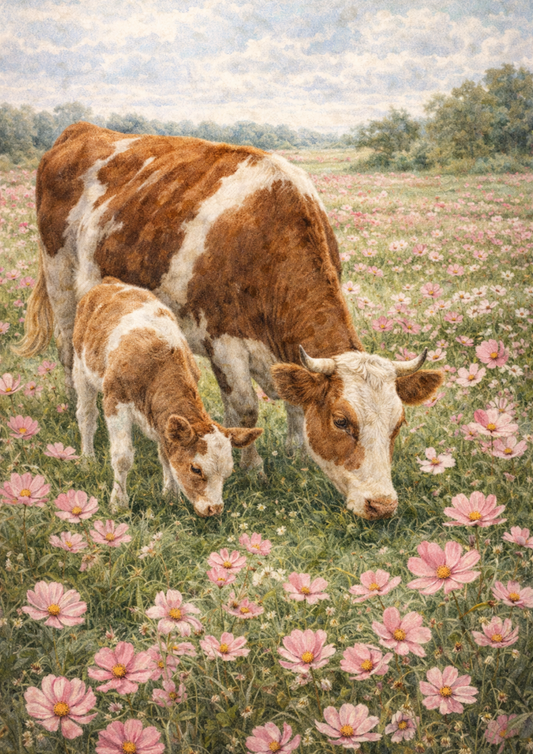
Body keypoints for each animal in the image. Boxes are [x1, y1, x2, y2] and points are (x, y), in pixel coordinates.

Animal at [72, 276, 262, 515]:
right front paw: (118, 504)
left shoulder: (164, 421)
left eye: (228, 472)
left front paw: (171, 496)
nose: (214, 509)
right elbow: (122, 457)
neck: (158, 365)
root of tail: (110, 282)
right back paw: (87, 460)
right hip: (81, 368)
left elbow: (166, 456)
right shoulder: (116, 401)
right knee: (86, 417)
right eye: (195, 469)